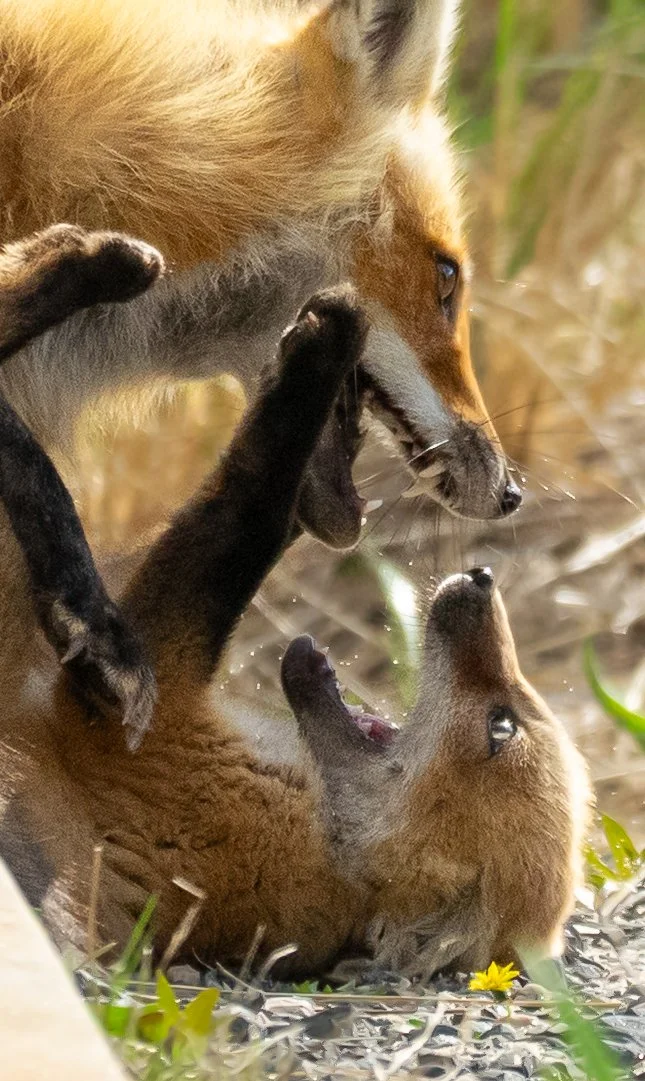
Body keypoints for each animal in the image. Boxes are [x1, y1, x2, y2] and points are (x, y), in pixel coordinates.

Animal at [0, 288, 591, 980]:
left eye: (503, 729)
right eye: (521, 715)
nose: (481, 576)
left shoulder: (137, 715)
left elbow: (250, 503)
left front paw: (320, 345)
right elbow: (284, 509)